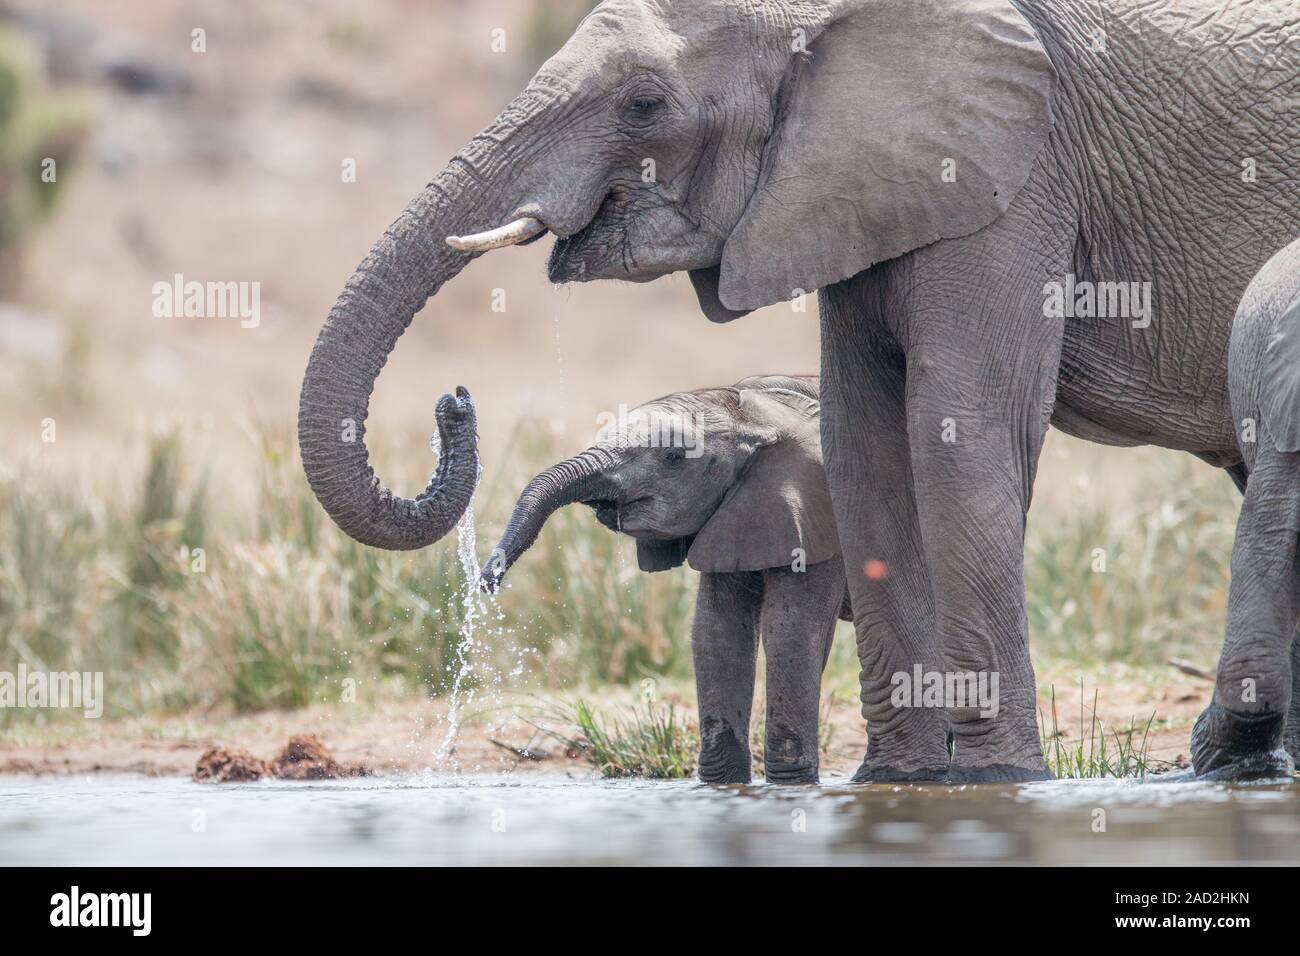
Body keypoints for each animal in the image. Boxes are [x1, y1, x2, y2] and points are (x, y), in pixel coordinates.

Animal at [483, 374, 847, 785]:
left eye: (673, 458)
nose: (487, 581)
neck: (761, 412)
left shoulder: (819, 516)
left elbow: (791, 630)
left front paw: (791, 785)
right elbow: (717, 632)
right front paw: (724, 784)